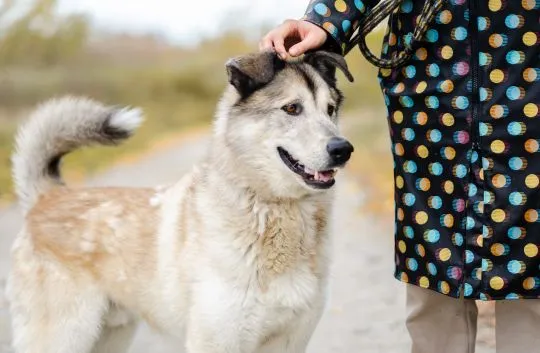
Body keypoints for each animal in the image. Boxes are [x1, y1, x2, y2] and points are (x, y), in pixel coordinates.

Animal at [7, 50, 354, 352]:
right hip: (64, 336)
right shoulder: (215, 341)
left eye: (330, 109)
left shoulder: (289, 341)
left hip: (110, 336)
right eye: (292, 109)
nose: (343, 149)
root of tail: (48, 195)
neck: (277, 210)